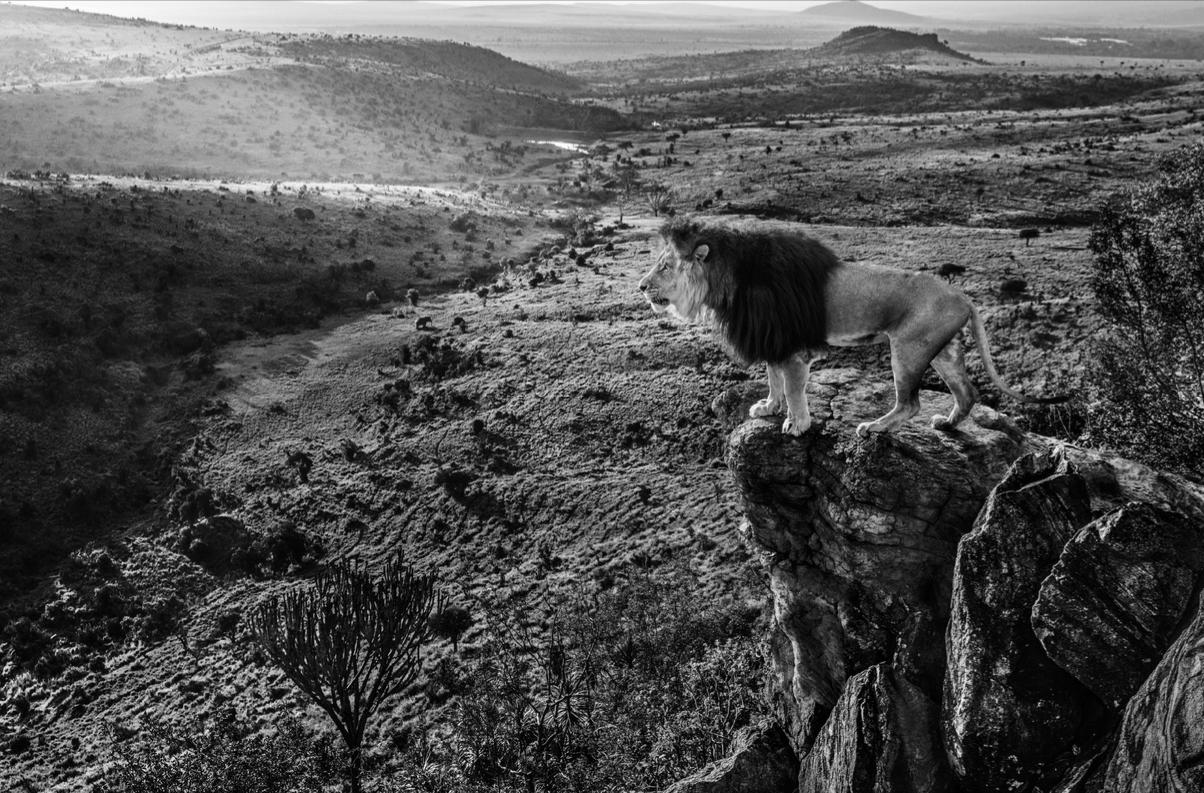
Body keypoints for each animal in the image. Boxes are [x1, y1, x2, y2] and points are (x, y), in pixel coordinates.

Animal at [640, 216, 1064, 438]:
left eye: (666, 266)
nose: (641, 286)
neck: (729, 282)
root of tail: (963, 296)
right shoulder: (773, 337)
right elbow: (773, 378)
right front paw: (767, 407)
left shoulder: (793, 347)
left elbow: (792, 388)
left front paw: (797, 424)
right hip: (943, 351)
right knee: (967, 392)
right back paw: (946, 423)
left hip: (907, 349)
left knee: (910, 402)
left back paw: (875, 427)